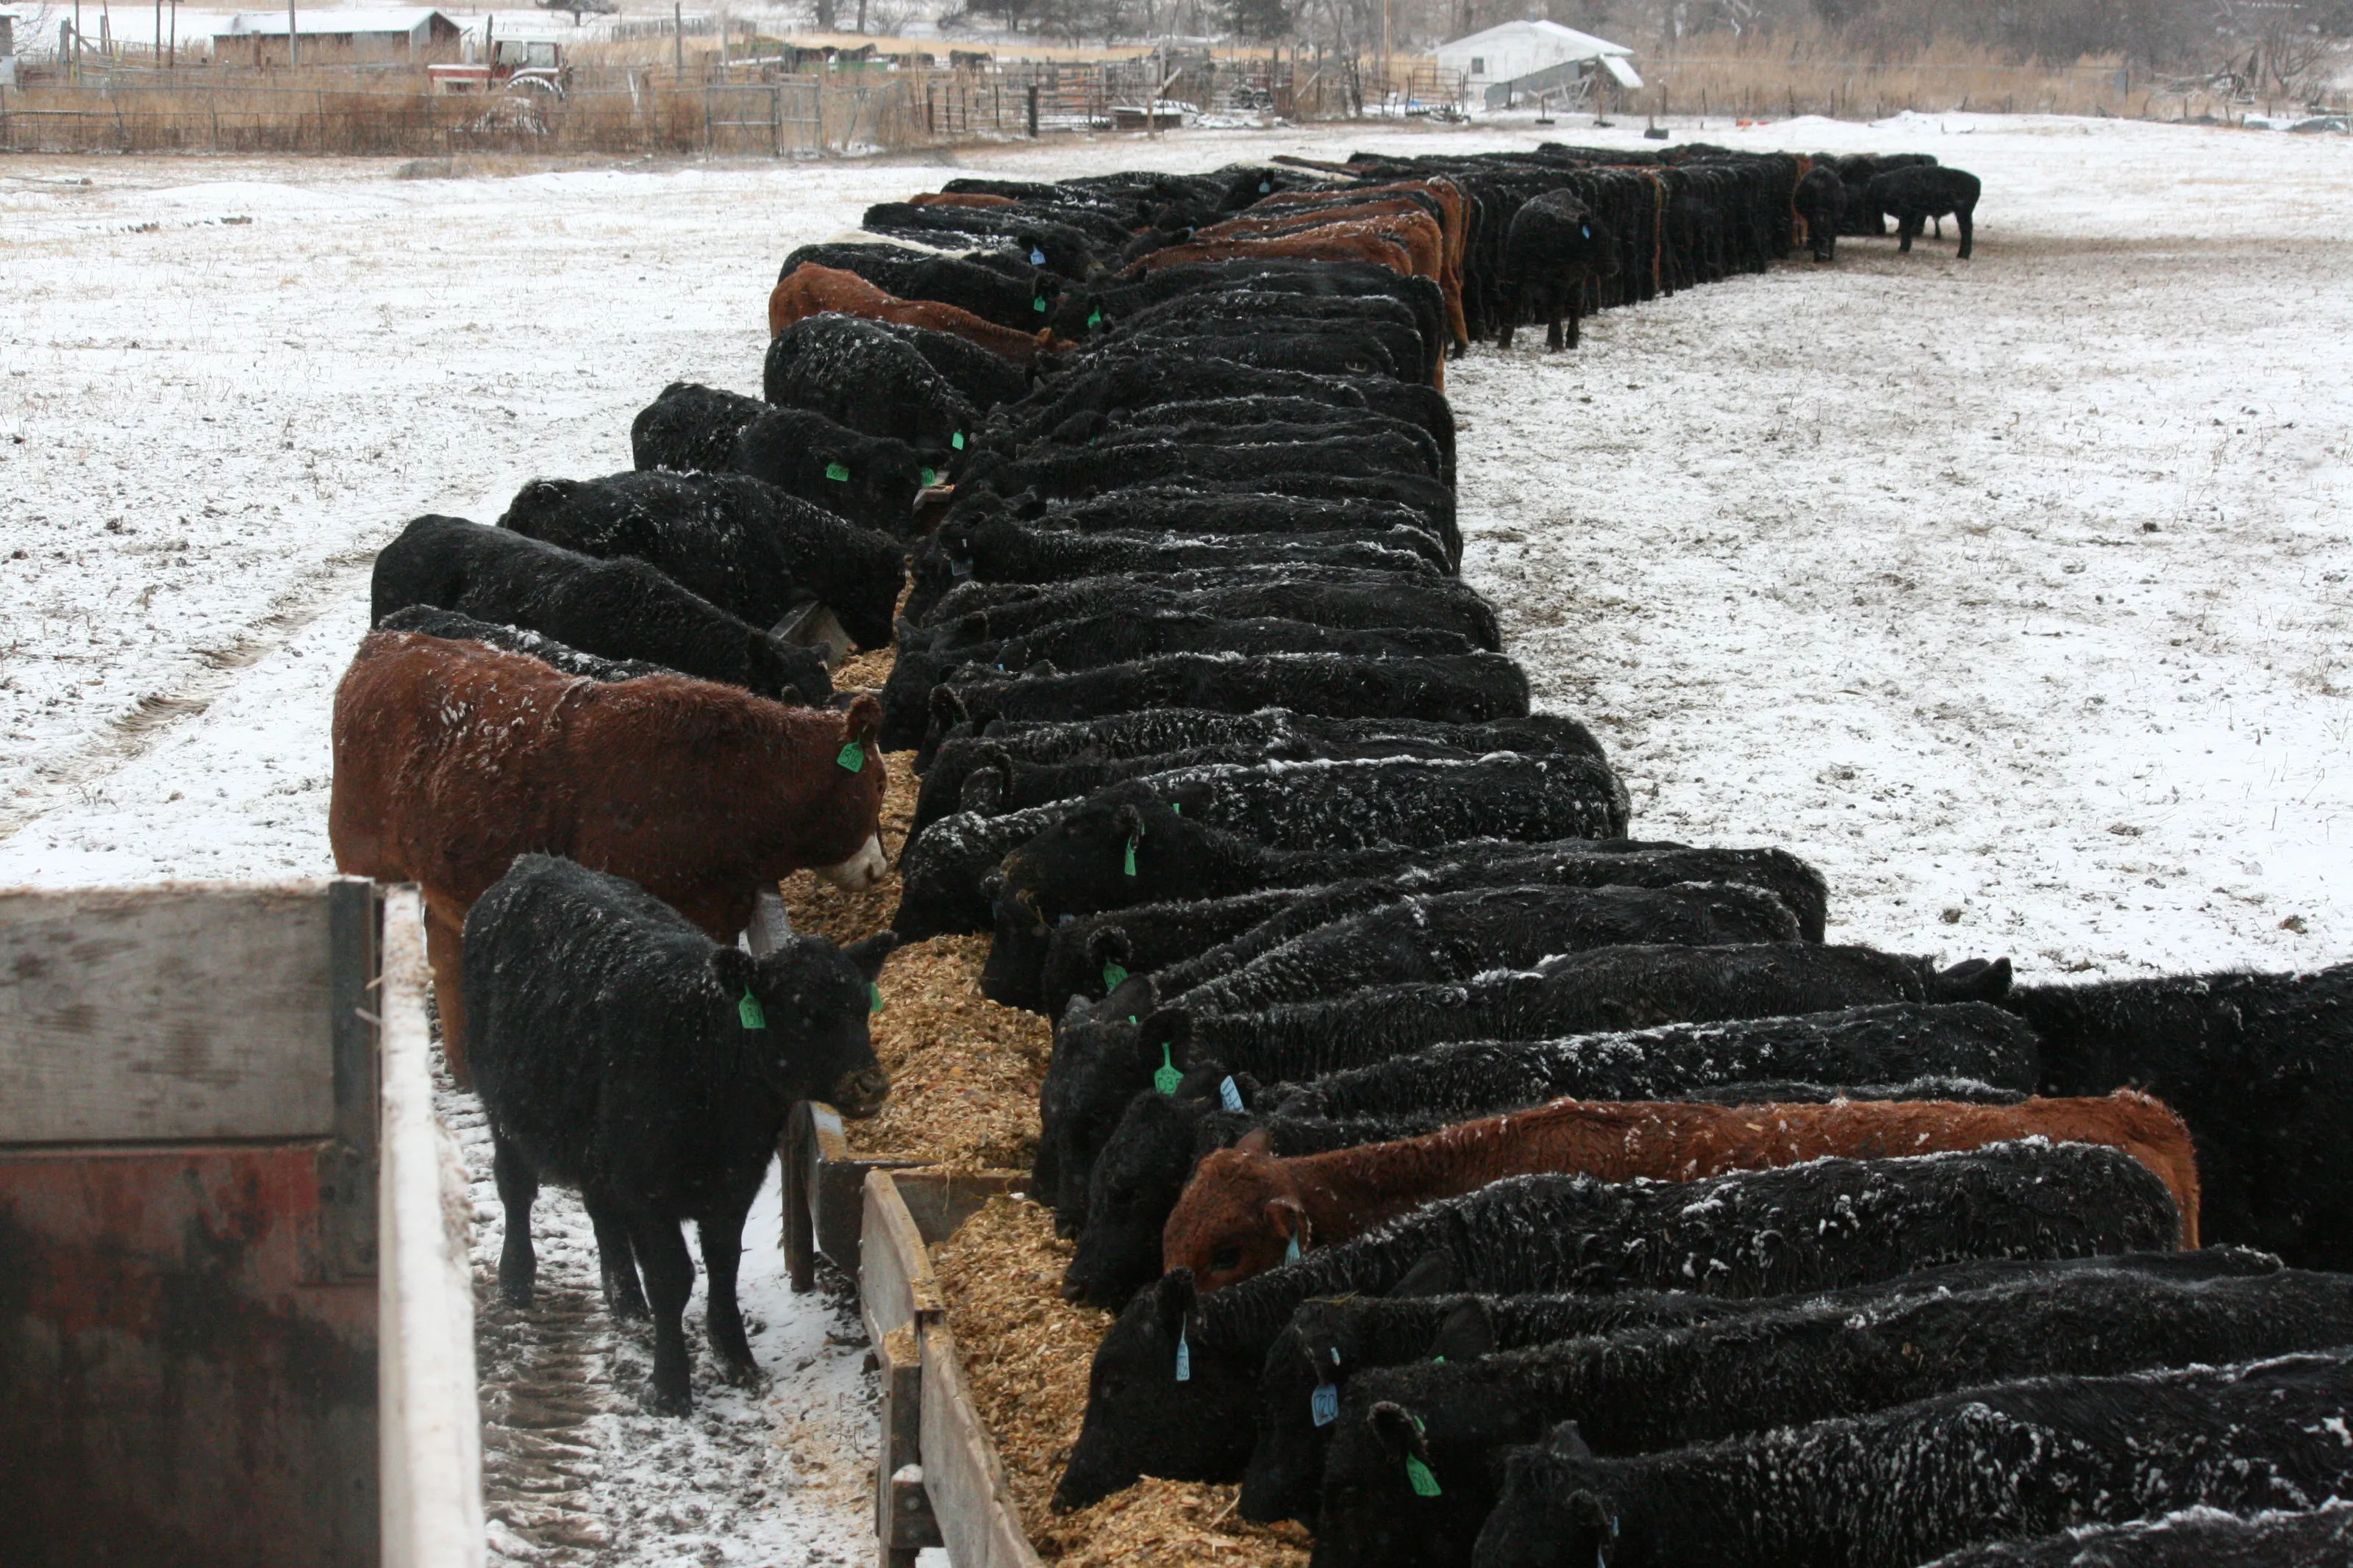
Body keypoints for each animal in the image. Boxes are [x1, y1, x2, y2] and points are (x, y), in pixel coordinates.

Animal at [464, 854, 895, 1413]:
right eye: (803, 1013)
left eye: (863, 1008)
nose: (870, 1083)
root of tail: (533, 862)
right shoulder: (648, 1189)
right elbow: (673, 1277)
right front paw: (670, 1385)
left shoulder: (735, 1182)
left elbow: (724, 1264)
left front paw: (736, 1357)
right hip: (502, 1103)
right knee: (516, 1188)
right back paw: (516, 1280)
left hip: (595, 1140)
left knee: (600, 1207)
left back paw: (626, 1300)